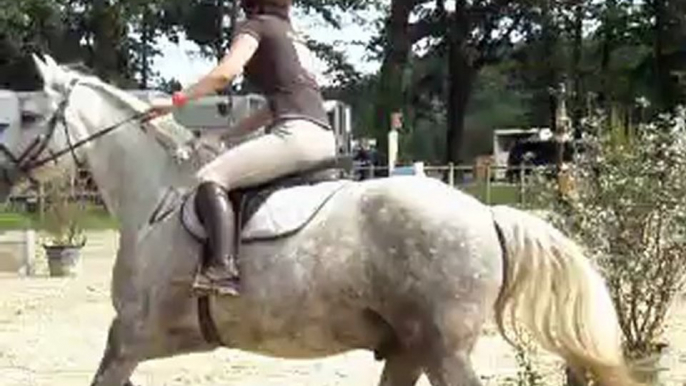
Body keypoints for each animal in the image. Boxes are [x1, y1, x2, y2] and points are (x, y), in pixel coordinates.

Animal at [0, 55, 644, 386]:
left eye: (28, 114)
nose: (3, 175)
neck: (156, 196)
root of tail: (485, 214)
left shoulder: (132, 336)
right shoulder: (140, 341)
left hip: (445, 350)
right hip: (410, 348)